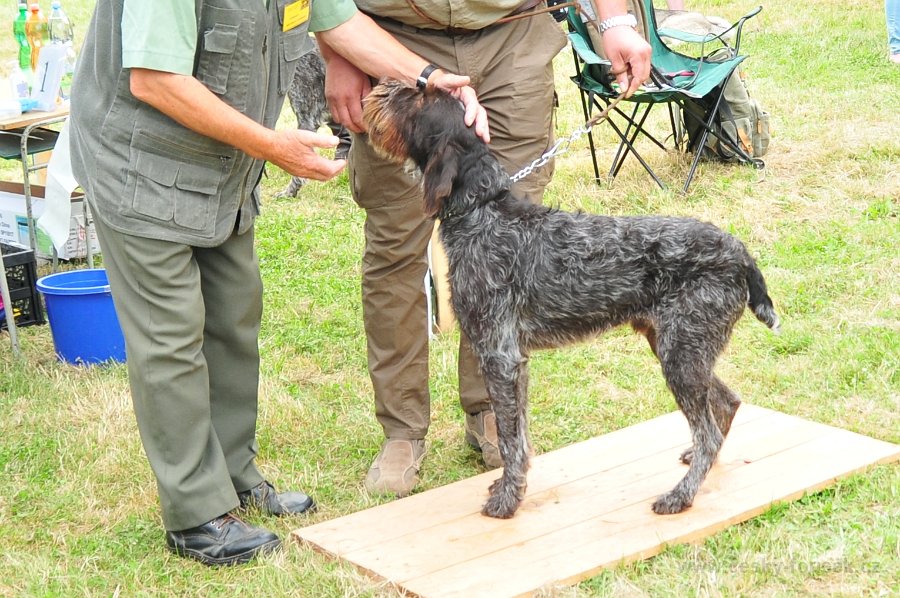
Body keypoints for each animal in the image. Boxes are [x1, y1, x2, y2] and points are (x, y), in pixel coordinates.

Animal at [360, 79, 780, 520]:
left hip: (681, 352)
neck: (483, 211)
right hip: (679, 346)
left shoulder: (499, 355)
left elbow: (510, 439)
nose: (383, 85)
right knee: (727, 403)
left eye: (419, 97)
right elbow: (519, 434)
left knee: (709, 432)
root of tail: (739, 251)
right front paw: (511, 486)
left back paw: (681, 495)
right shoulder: (514, 360)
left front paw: (507, 499)